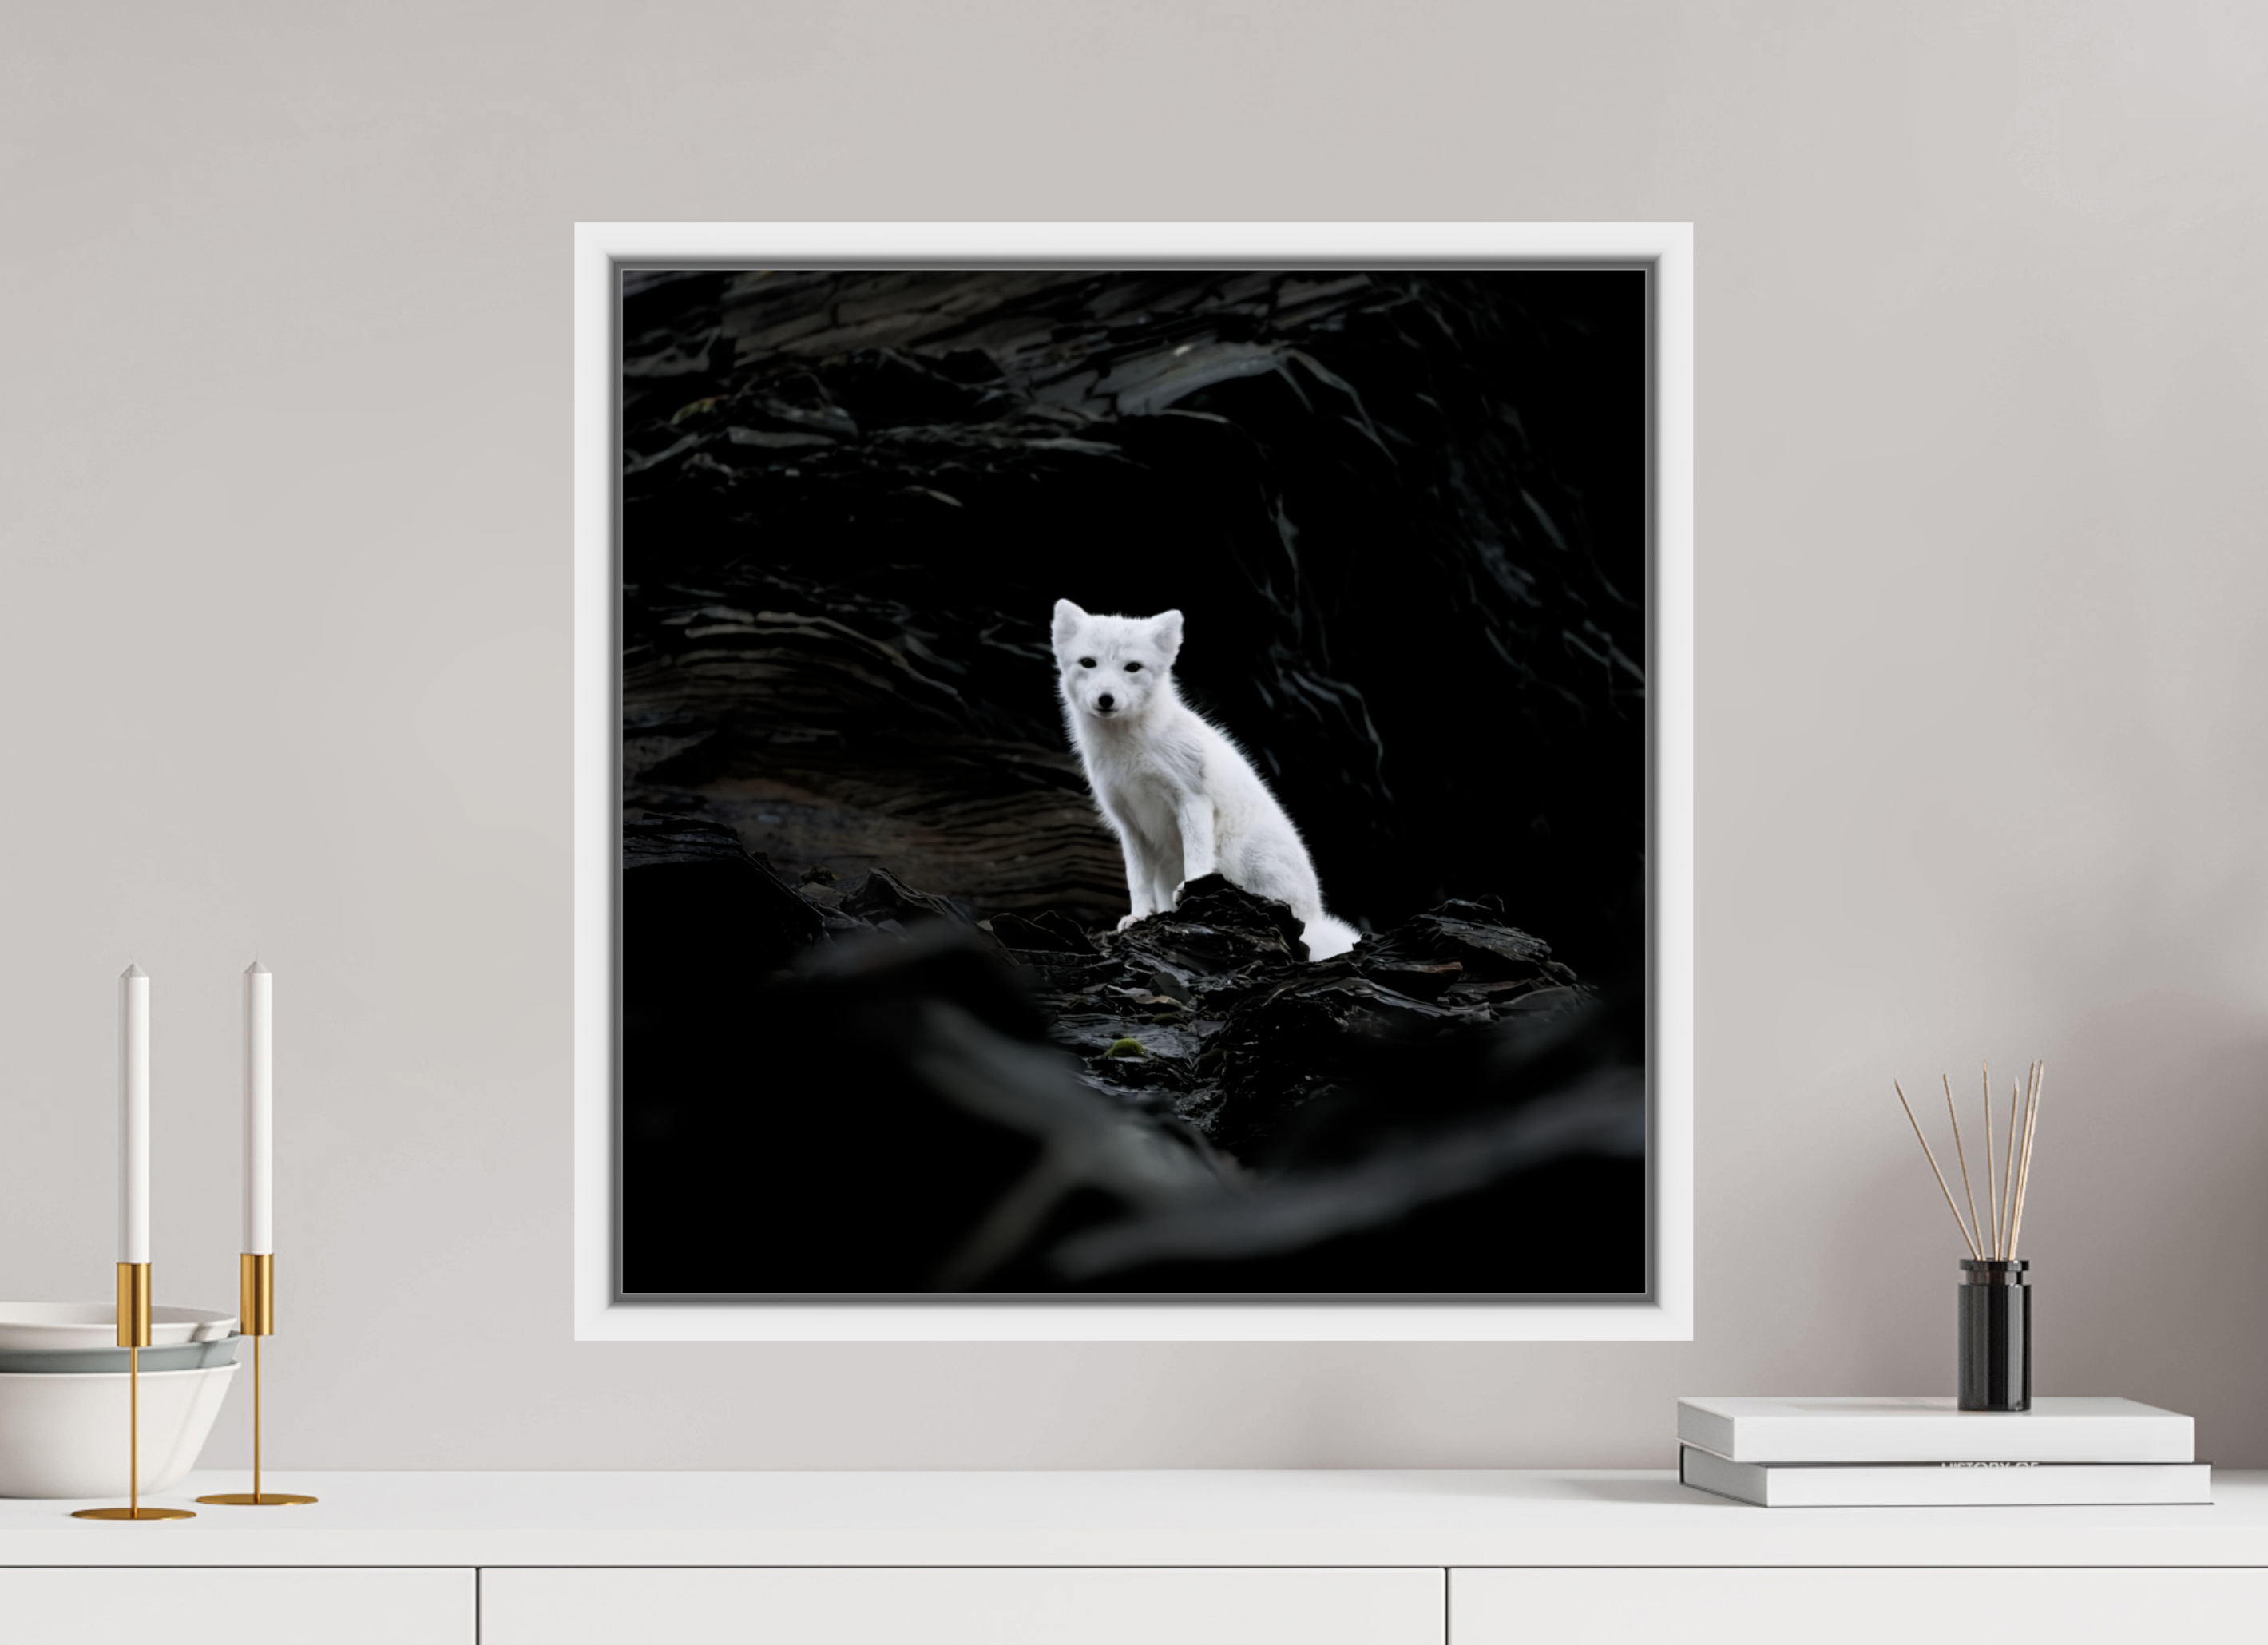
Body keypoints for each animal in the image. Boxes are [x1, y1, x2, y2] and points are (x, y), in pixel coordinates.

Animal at [1051, 599, 1361, 961]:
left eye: (1132, 667)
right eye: (1089, 663)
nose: (1105, 698)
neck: (1130, 750)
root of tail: (1314, 917)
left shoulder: (1192, 799)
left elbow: (1196, 858)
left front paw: (1191, 893)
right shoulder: (1129, 823)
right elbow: (1136, 879)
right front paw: (1139, 916)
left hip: (1245, 854)